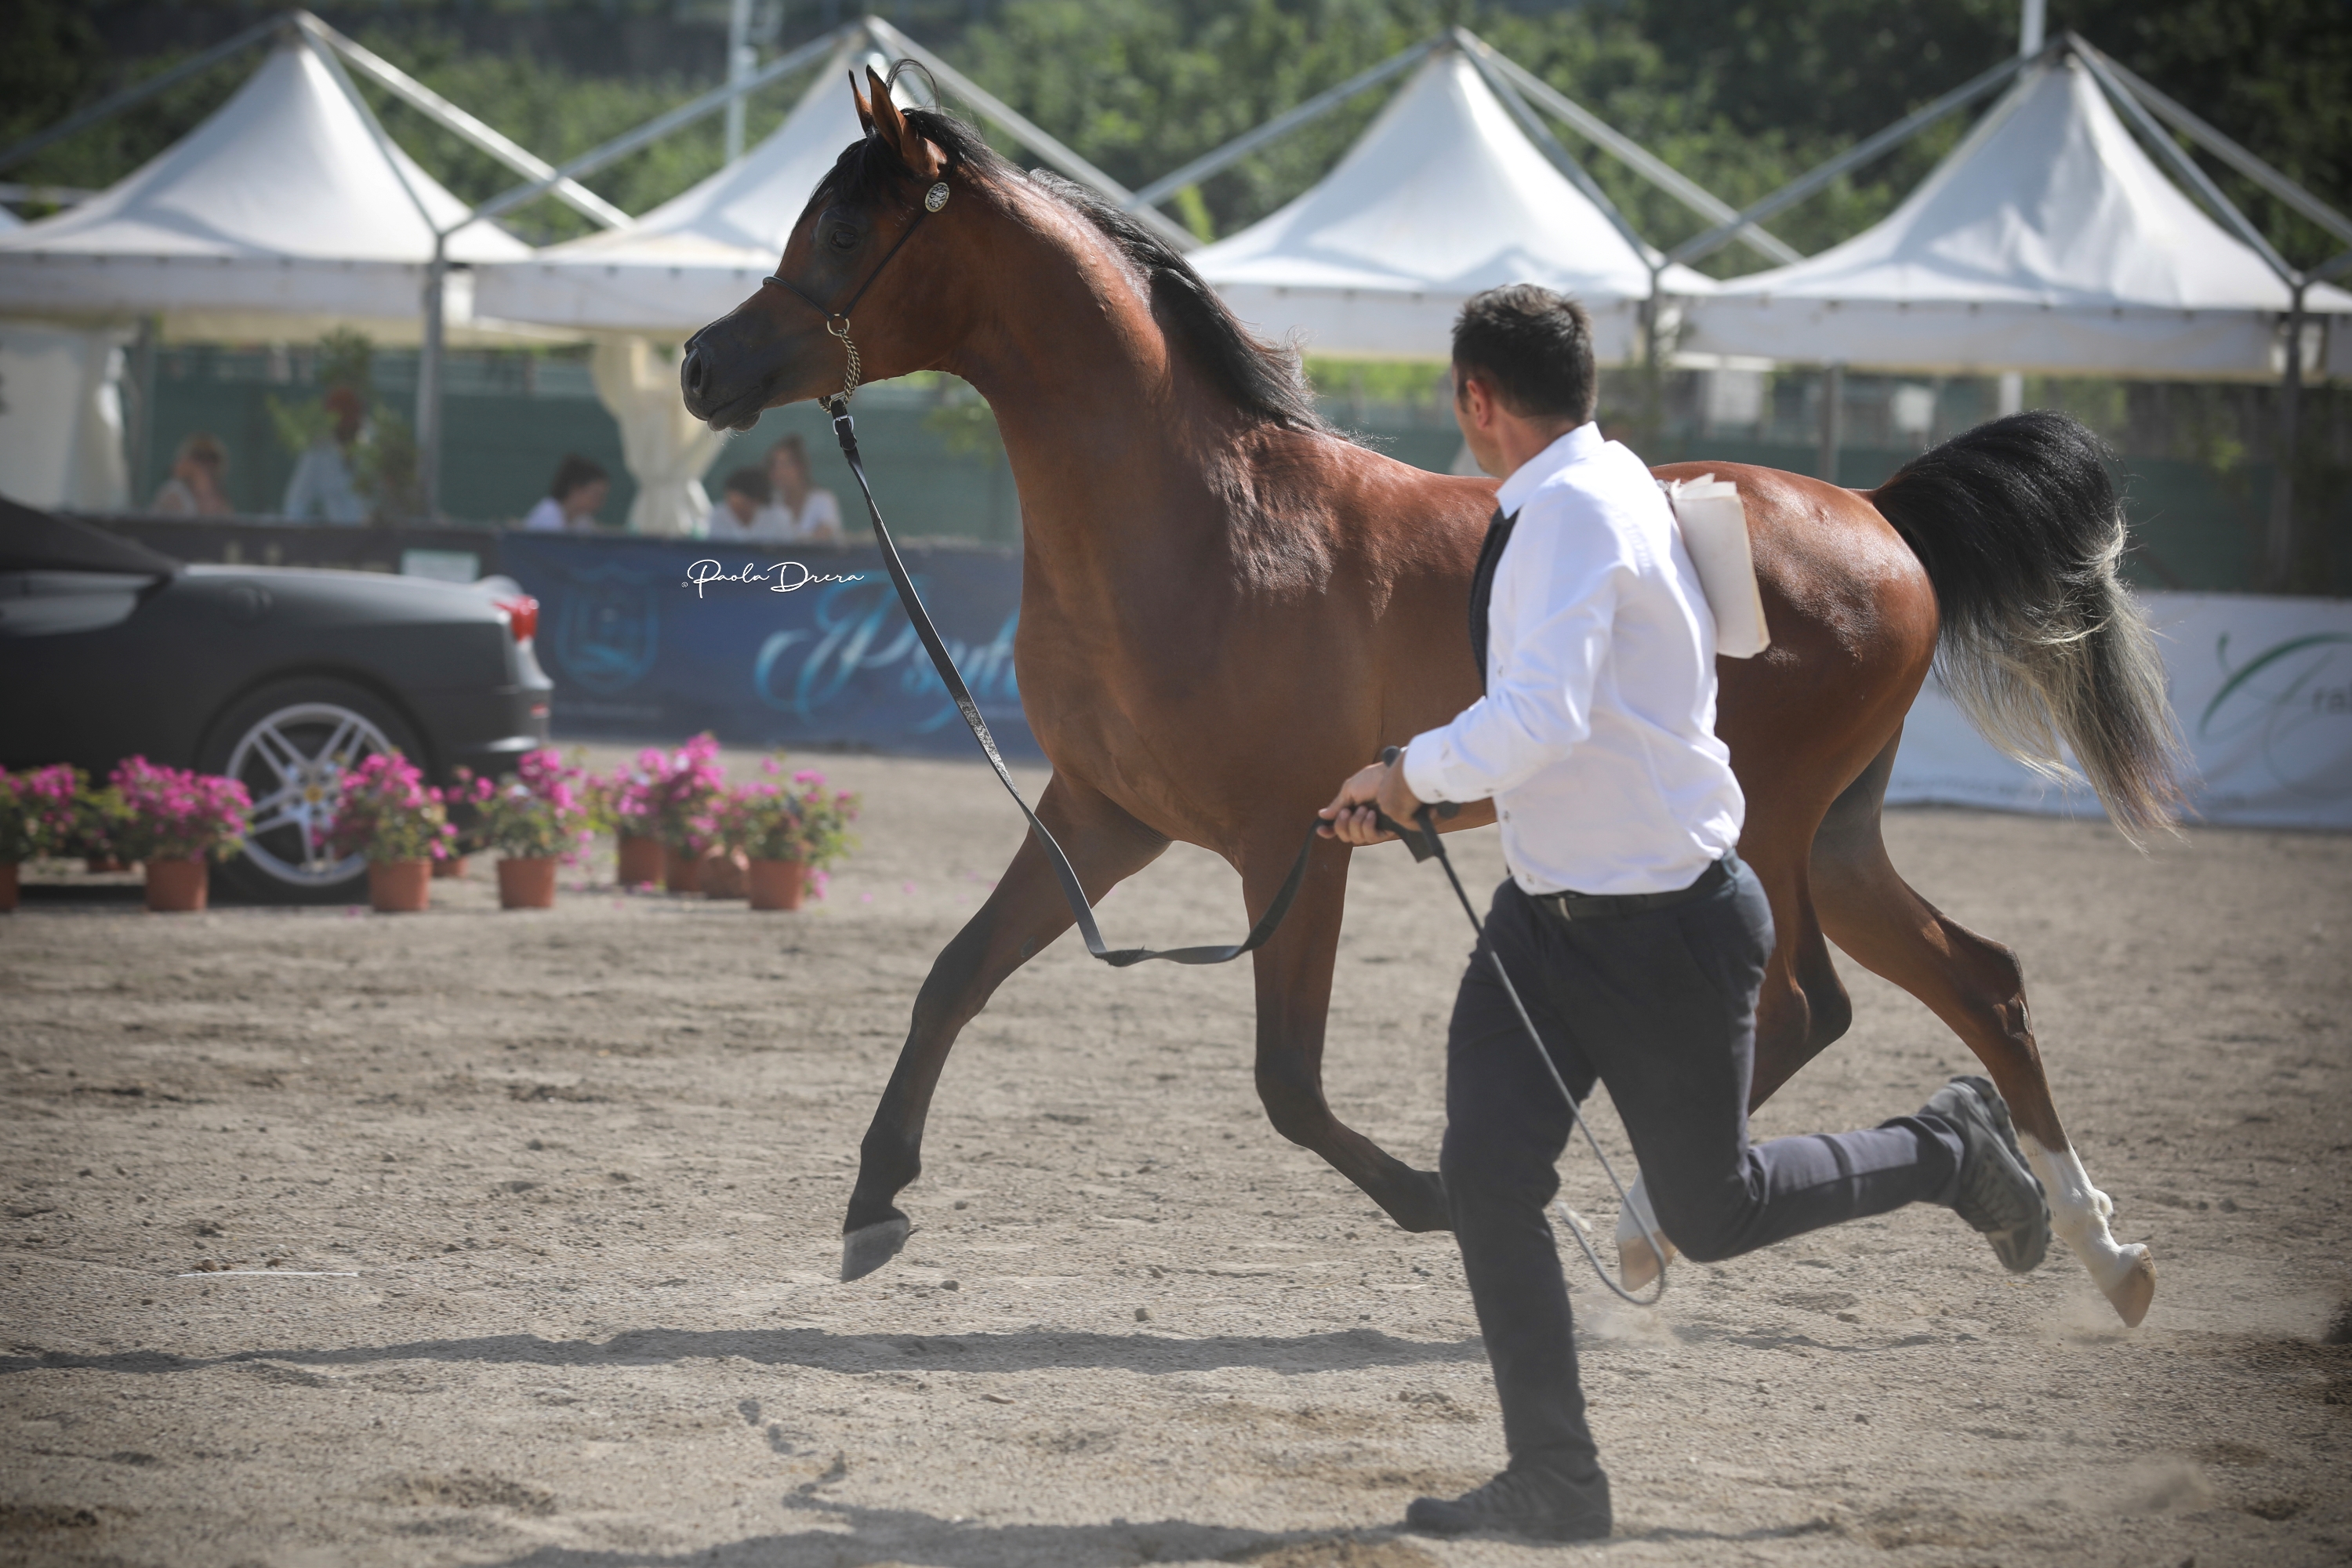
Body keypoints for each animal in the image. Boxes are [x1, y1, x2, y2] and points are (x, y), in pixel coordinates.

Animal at [680, 69, 2179, 1326]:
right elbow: (953, 978)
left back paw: (1646, 1231)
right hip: (1839, 833)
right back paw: (2096, 1249)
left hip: (1769, 826)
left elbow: (1287, 1085)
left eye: (841, 230)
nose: (701, 364)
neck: (1203, 522)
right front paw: (873, 1204)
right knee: (1983, 983)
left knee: (1812, 1007)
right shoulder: (1104, 817)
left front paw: (1445, 1198)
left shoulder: (1291, 842)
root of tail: (1879, 516)